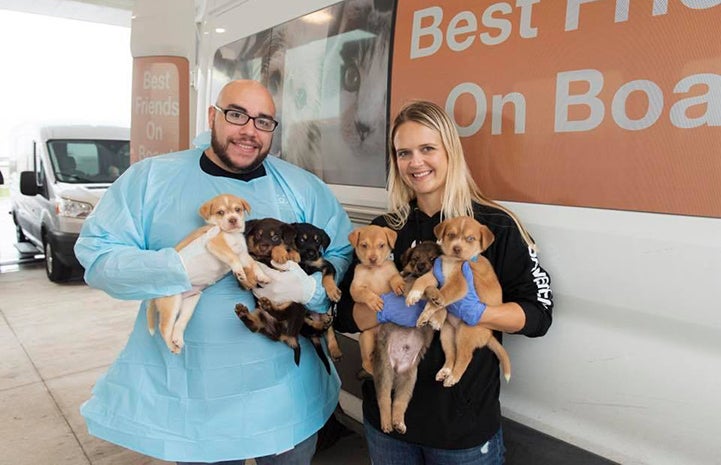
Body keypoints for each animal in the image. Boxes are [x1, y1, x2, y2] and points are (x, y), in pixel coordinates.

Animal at [148, 194, 268, 354]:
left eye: (237, 209)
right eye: (220, 212)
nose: (233, 220)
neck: (231, 235)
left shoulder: (243, 254)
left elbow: (253, 264)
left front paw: (262, 276)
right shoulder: (214, 242)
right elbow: (233, 257)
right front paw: (239, 271)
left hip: (190, 302)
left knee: (179, 324)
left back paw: (177, 340)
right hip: (172, 304)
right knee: (164, 328)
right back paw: (172, 347)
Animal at [344, 223, 402, 376]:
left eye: (381, 245)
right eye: (364, 245)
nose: (373, 259)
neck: (375, 270)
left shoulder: (392, 272)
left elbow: (395, 277)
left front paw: (399, 285)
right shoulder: (355, 288)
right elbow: (365, 292)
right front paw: (374, 301)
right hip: (366, 338)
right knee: (365, 362)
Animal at [372, 241, 438, 434]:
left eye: (433, 258)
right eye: (415, 258)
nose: (421, 266)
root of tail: (397, 367)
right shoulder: (408, 284)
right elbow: (423, 285)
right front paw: (431, 294)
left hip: (409, 380)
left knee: (399, 403)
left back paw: (398, 423)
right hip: (384, 372)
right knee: (384, 399)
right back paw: (387, 423)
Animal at [404, 216, 512, 386]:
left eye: (470, 238)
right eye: (451, 235)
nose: (457, 248)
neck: (452, 261)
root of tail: (488, 335)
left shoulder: (460, 284)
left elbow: (445, 293)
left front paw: (436, 301)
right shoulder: (436, 273)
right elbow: (422, 280)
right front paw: (415, 297)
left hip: (465, 332)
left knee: (465, 356)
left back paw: (453, 377)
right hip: (447, 334)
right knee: (452, 355)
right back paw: (445, 371)